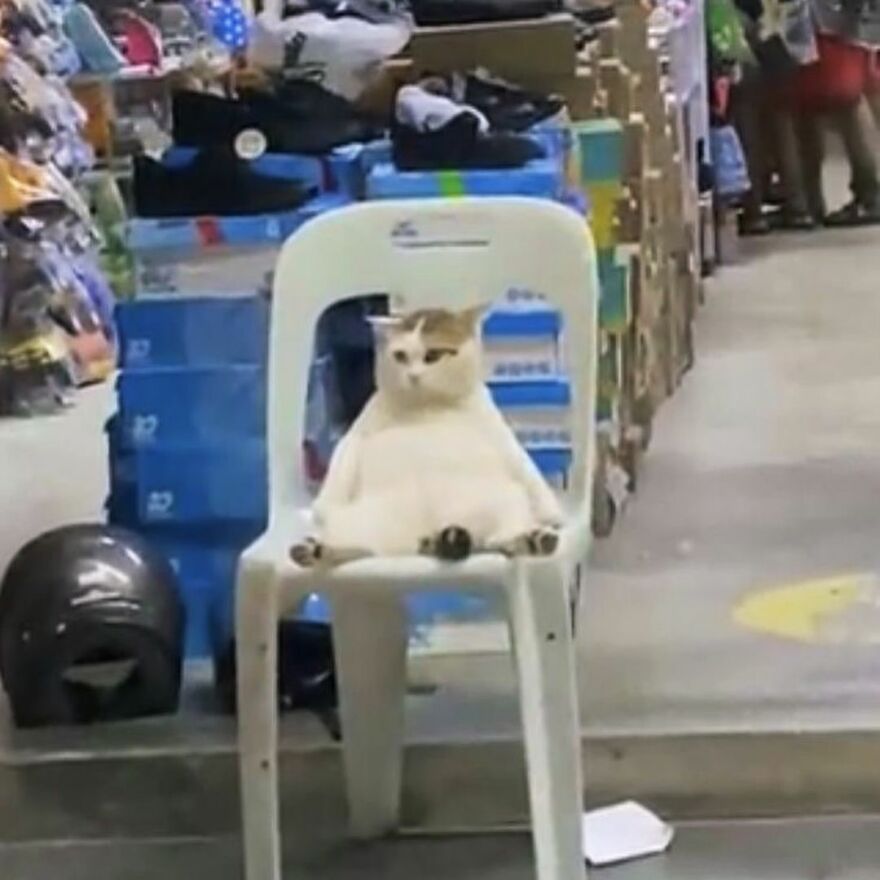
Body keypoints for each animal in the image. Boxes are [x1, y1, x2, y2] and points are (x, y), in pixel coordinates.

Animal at [290, 306, 564, 568]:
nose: (413, 375)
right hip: (360, 523)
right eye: (400, 356)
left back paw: (535, 539)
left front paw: (552, 515)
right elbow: (343, 456)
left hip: (505, 502)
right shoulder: (359, 431)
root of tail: (426, 534)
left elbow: (527, 471)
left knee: (500, 538)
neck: (427, 406)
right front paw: (320, 509)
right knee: (362, 548)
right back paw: (315, 551)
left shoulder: (496, 430)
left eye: (432, 356)